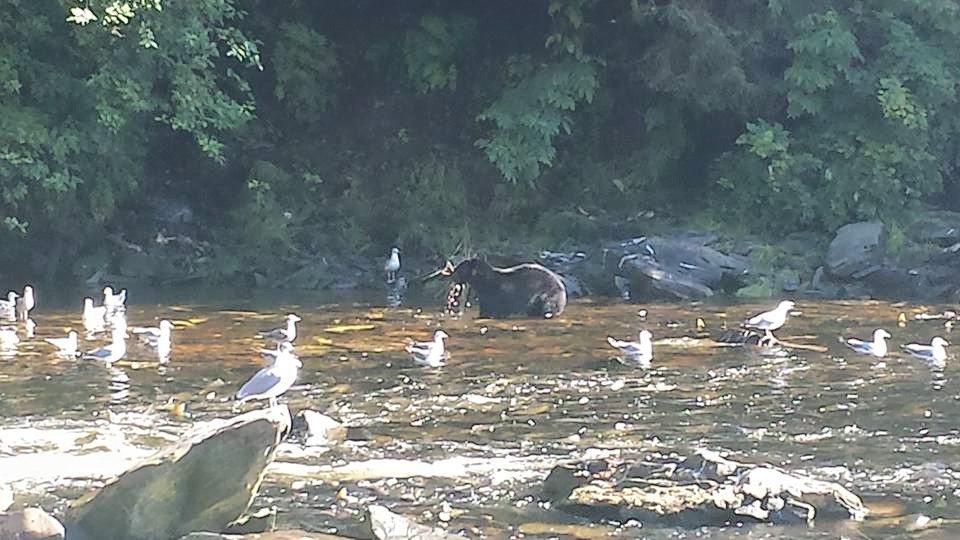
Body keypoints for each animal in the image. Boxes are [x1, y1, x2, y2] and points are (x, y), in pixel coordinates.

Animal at [440, 256, 568, 316]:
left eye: (459, 269)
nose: (452, 275)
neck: (483, 283)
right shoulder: (485, 297)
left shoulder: (498, 294)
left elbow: (494, 309)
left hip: (547, 295)